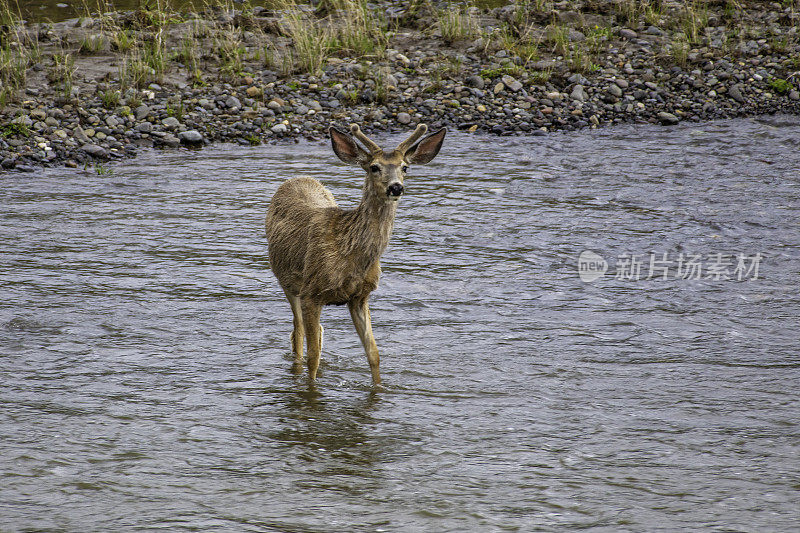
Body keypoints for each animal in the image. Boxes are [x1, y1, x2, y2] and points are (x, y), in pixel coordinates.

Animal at [266, 123, 446, 384]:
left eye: (404, 167)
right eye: (374, 167)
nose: (396, 187)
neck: (350, 251)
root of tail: (297, 178)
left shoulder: (360, 296)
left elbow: (374, 353)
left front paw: (378, 387)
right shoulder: (311, 292)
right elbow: (313, 358)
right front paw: (310, 390)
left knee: (317, 333)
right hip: (287, 281)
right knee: (297, 332)